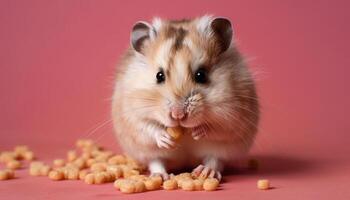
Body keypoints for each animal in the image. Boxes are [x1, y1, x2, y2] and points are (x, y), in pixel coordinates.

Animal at [112, 14, 260, 180]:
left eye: (201, 75)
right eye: (159, 75)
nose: (178, 115)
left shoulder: (234, 116)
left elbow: (217, 127)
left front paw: (198, 132)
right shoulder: (131, 116)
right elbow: (148, 126)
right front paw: (166, 138)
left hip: (224, 149)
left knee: (215, 160)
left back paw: (205, 172)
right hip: (147, 151)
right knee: (156, 161)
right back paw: (160, 176)